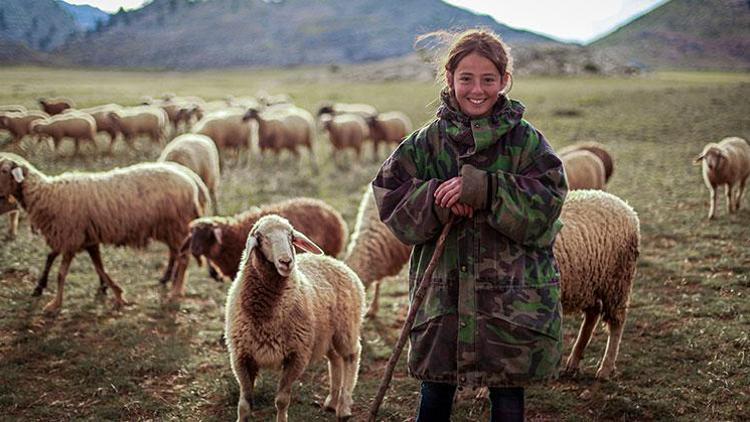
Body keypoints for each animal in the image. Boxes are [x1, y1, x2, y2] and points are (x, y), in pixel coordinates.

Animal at [0, 152, 209, 314]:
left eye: (3, 170)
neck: (45, 194)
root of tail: (192, 181)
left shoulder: (70, 237)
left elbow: (61, 273)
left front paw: (54, 304)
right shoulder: (87, 239)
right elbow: (99, 267)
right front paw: (117, 294)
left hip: (176, 226)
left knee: (183, 259)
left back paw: (175, 292)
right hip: (170, 228)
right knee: (177, 254)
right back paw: (170, 282)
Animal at [225, 214, 366, 422]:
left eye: (291, 236)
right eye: (261, 237)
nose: (286, 262)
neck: (267, 316)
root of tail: (334, 261)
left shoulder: (296, 356)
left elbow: (282, 400)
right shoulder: (241, 356)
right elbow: (244, 404)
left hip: (346, 328)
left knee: (351, 356)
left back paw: (344, 406)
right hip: (325, 335)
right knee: (335, 359)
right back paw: (332, 401)